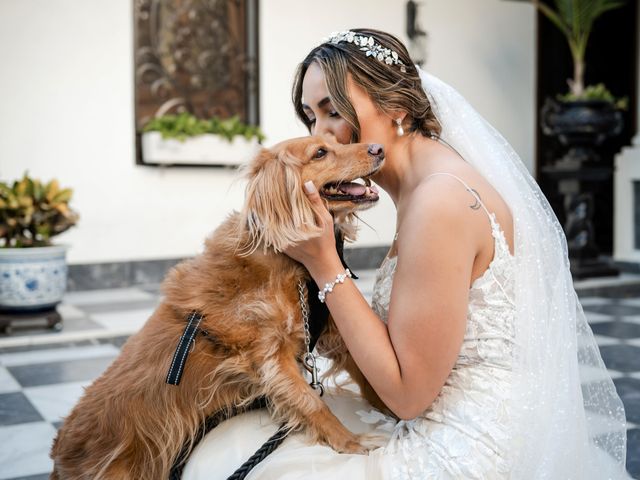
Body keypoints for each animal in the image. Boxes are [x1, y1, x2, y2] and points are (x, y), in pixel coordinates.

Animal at [48, 136, 384, 480]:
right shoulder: (271, 359)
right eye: (319, 153)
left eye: (338, 141)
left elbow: (368, 374)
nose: (378, 148)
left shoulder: (330, 331)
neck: (283, 257)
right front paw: (351, 440)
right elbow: (312, 402)